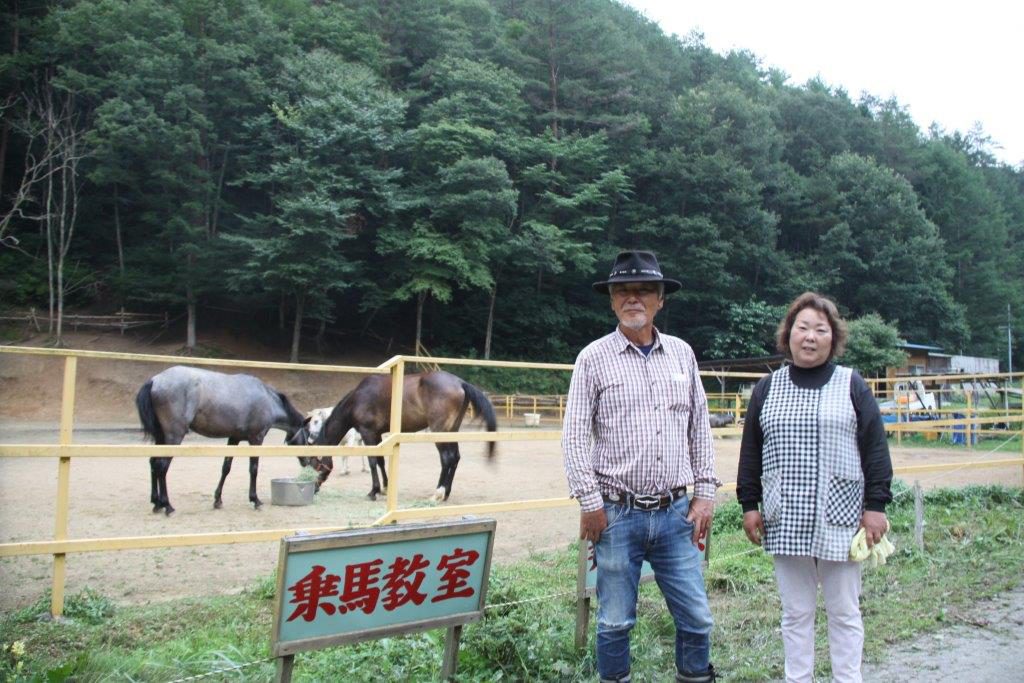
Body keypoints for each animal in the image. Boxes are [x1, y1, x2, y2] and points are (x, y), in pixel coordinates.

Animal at [132, 366, 301, 516]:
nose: (308, 464)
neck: (266, 399)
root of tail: (155, 380)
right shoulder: (256, 439)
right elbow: (254, 469)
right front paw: (255, 500)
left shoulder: (234, 438)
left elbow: (226, 468)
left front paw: (218, 500)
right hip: (173, 437)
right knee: (162, 466)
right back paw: (167, 505)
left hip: (161, 437)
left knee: (153, 463)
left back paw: (156, 503)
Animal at [315, 370, 499, 505]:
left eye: (314, 463)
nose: (314, 488)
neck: (358, 399)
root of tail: (460, 382)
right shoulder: (377, 434)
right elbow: (381, 461)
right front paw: (385, 487)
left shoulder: (368, 433)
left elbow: (373, 461)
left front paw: (373, 491)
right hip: (451, 431)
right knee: (456, 458)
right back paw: (446, 493)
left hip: (440, 432)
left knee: (447, 458)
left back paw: (437, 494)